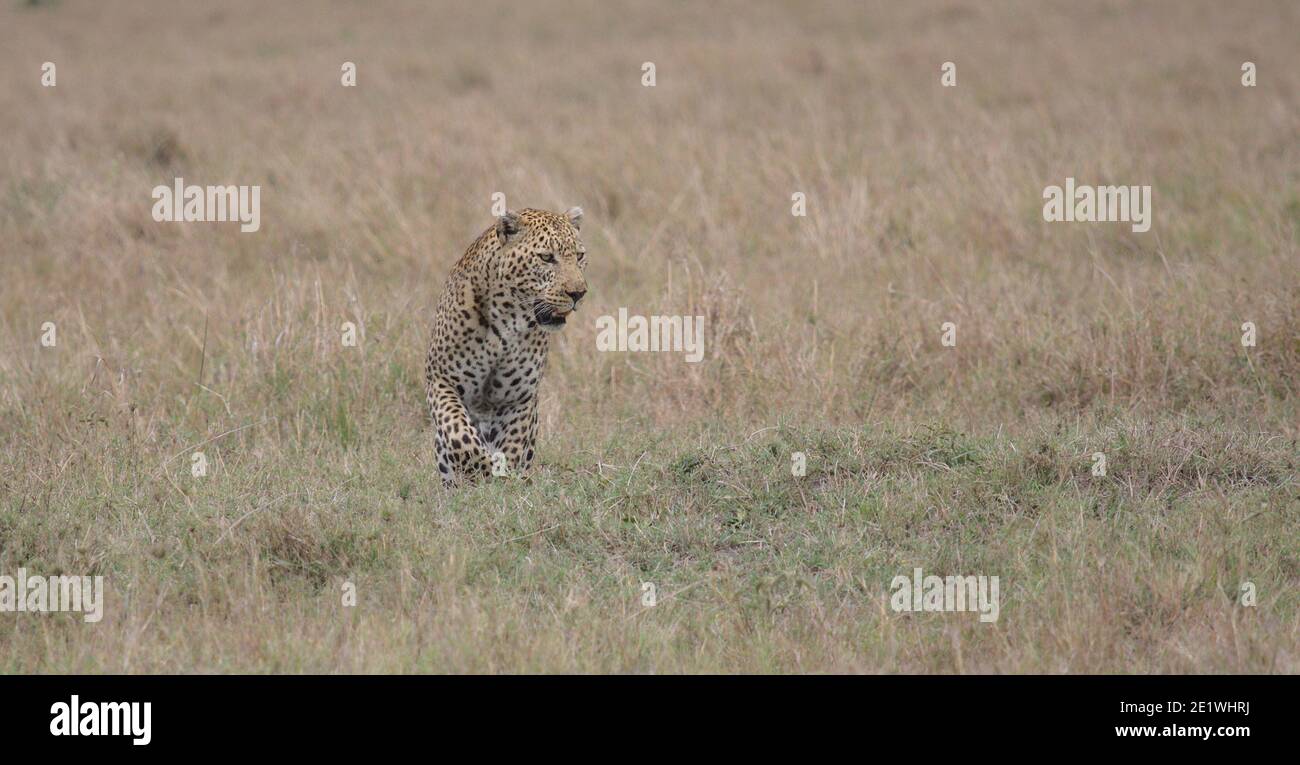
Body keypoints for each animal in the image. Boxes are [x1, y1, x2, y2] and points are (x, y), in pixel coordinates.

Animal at [423, 205, 587, 486]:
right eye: (546, 258)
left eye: (579, 256)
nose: (578, 293)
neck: (506, 319)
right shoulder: (440, 379)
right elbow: (458, 432)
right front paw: (481, 468)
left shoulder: (518, 398)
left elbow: (512, 446)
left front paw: (502, 479)